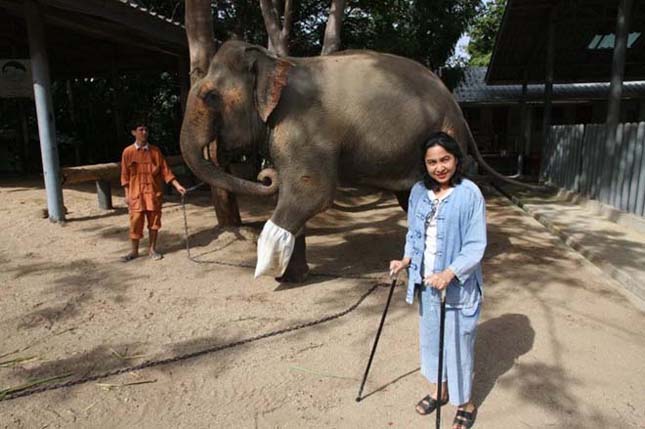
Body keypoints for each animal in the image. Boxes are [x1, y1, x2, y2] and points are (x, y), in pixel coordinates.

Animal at [181, 39, 512, 280]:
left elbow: (312, 193)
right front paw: (291, 277)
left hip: (446, 130)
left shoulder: (305, 129)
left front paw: (266, 271)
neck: (275, 60)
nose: (264, 176)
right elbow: (295, 195)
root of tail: (456, 105)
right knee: (412, 196)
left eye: (211, 97)